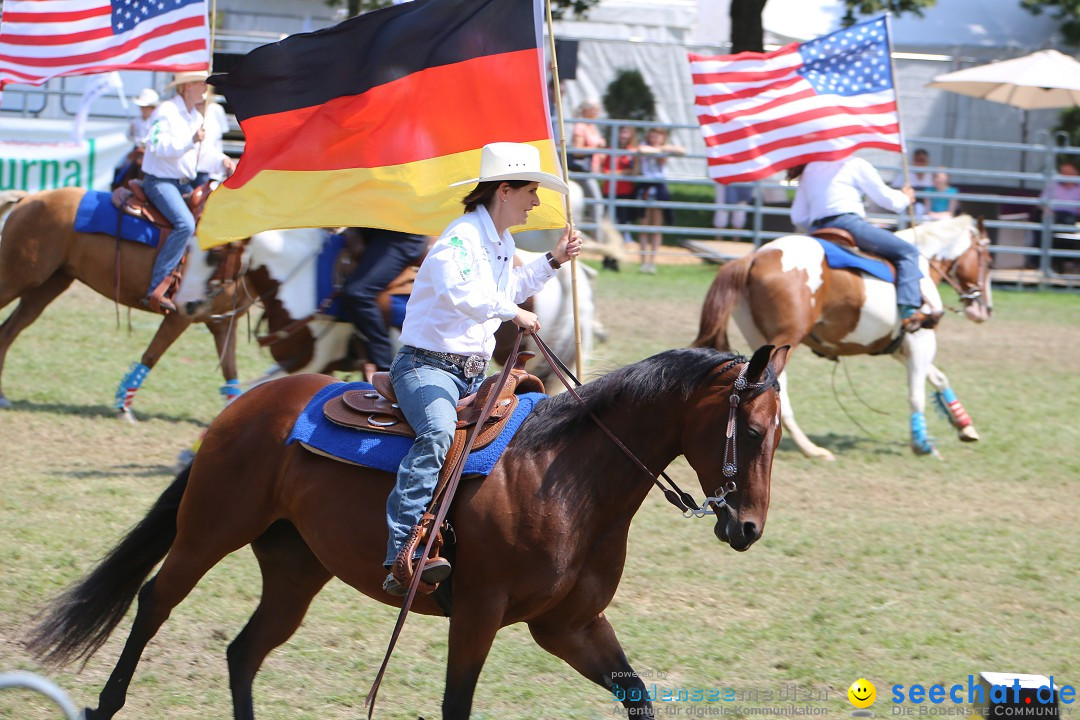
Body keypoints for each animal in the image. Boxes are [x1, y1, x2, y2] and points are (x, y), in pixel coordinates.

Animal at [0, 185, 247, 414]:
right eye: (214, 251)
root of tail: (28, 198)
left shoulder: (223, 322)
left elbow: (230, 369)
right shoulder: (180, 316)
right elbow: (151, 355)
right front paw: (123, 404)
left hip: (47, 286)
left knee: (8, 332)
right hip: (18, 278)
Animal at [23, 343, 786, 720]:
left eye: (779, 435)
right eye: (750, 432)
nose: (747, 527)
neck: (565, 475)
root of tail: (248, 406)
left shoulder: (570, 625)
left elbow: (638, 697)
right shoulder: (477, 613)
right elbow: (456, 706)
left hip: (295, 569)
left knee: (244, 651)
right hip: (208, 532)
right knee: (155, 601)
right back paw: (105, 704)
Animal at [695, 215, 989, 462]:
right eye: (986, 259)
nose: (984, 309)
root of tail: (754, 258)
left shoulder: (902, 347)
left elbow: (939, 378)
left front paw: (965, 427)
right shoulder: (921, 341)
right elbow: (916, 393)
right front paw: (922, 443)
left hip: (760, 340)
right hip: (785, 339)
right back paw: (811, 449)